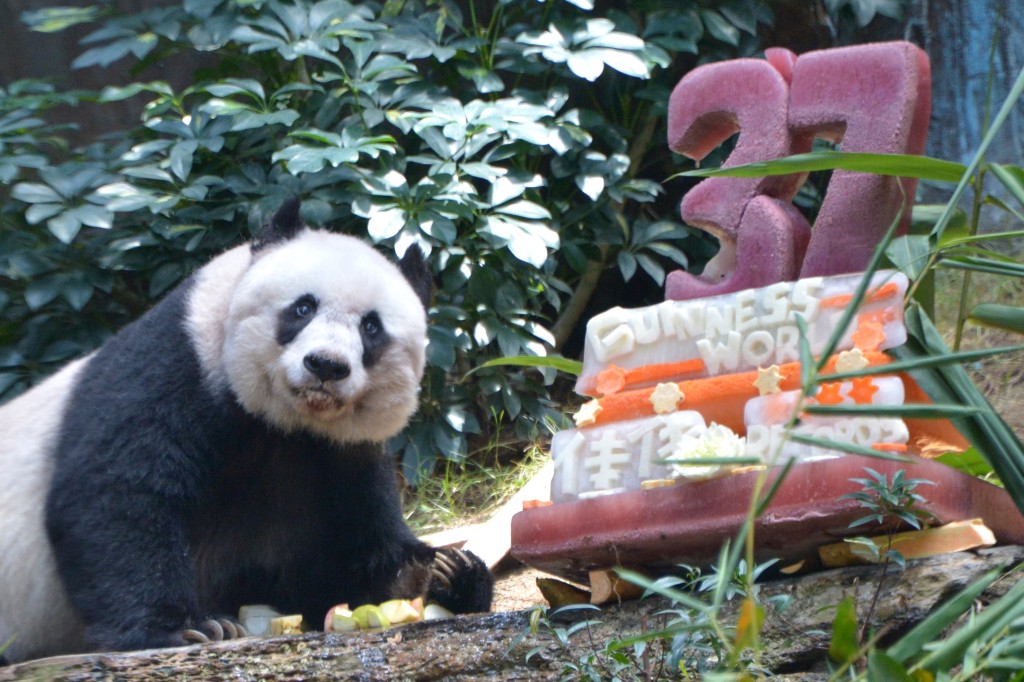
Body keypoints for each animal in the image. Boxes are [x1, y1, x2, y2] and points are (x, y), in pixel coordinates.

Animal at [0, 195, 491, 659]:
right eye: (303, 307)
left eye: (371, 327)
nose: (326, 365)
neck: (282, 420)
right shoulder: (180, 362)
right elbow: (119, 490)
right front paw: (184, 627)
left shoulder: (338, 453)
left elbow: (339, 556)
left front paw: (443, 573)